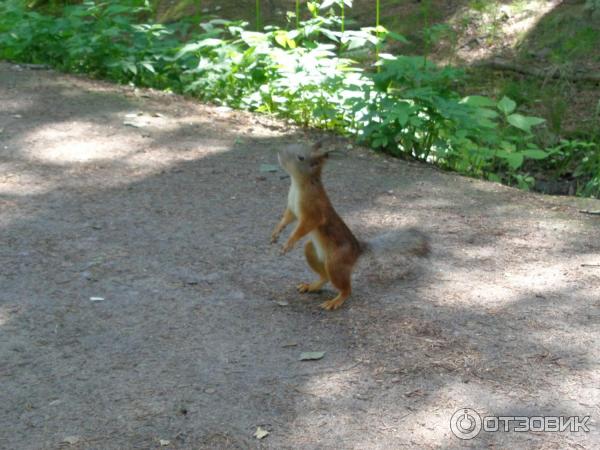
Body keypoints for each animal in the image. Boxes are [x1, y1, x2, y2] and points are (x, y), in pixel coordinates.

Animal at [272, 141, 426, 310]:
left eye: (300, 157)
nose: (279, 152)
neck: (298, 184)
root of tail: (357, 251)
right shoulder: (292, 209)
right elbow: (286, 219)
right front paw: (275, 233)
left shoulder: (313, 211)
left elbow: (306, 225)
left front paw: (289, 242)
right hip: (312, 251)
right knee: (325, 276)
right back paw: (311, 286)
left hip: (336, 262)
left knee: (346, 289)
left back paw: (335, 301)